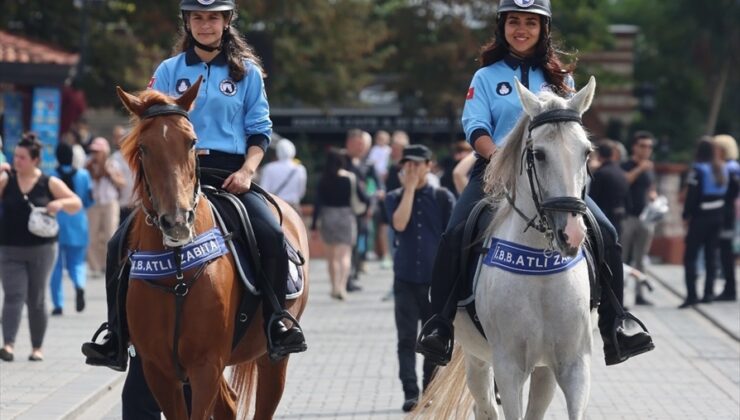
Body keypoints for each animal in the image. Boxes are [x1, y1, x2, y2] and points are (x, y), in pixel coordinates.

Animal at [117, 77, 308, 418]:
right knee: (229, 404)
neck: (177, 271)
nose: (177, 221)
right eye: (143, 148)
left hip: (271, 359)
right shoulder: (158, 370)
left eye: (192, 142)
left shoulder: (206, 365)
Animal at [414, 77, 600, 418]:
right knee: (485, 406)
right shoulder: (509, 368)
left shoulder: (574, 365)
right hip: (477, 358)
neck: (541, 270)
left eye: (586, 152)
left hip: (544, 368)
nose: (571, 234)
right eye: (538, 154)